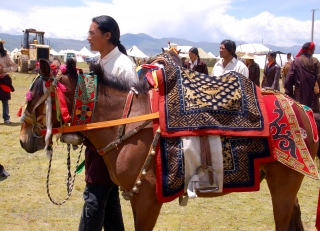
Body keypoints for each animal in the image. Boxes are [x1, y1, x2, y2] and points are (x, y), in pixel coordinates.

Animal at [20, 56, 320, 231]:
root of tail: (300, 107)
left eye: (34, 98)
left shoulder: (148, 200)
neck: (126, 121)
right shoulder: (135, 197)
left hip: (284, 184)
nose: (24, 140)